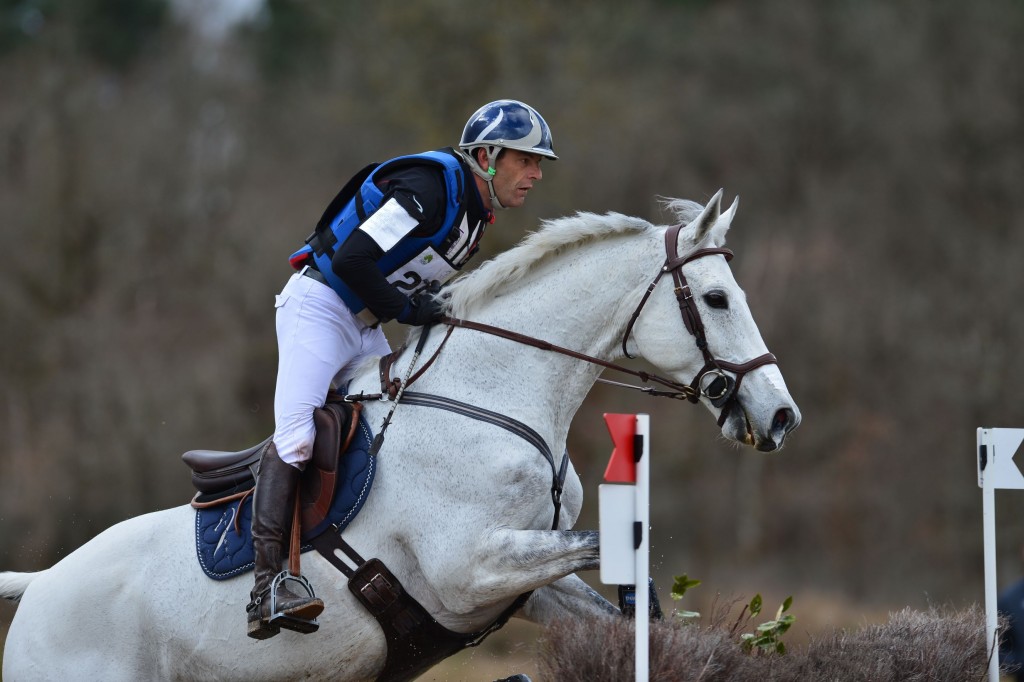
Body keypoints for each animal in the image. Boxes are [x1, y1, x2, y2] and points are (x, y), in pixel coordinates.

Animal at [0, 188, 798, 675]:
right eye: (718, 299)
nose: (781, 416)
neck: (490, 397)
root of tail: (41, 586)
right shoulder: (466, 567)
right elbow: (608, 542)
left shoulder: (527, 584)